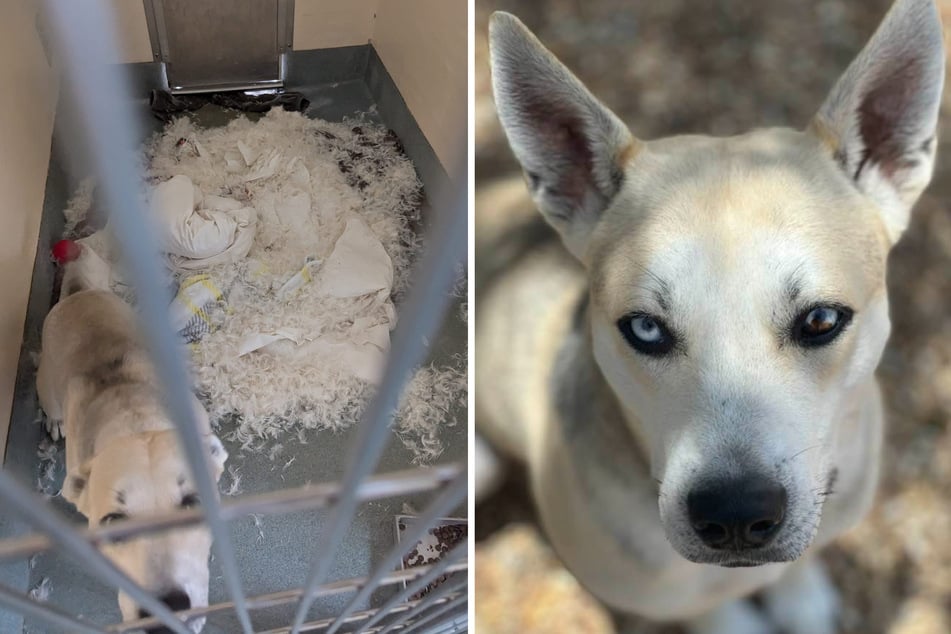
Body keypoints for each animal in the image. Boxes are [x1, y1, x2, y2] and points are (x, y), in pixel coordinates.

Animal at [35, 282, 231, 632]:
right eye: (113, 522)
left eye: (193, 504)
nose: (165, 613)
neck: (136, 419)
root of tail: (80, 292)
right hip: (46, 383)